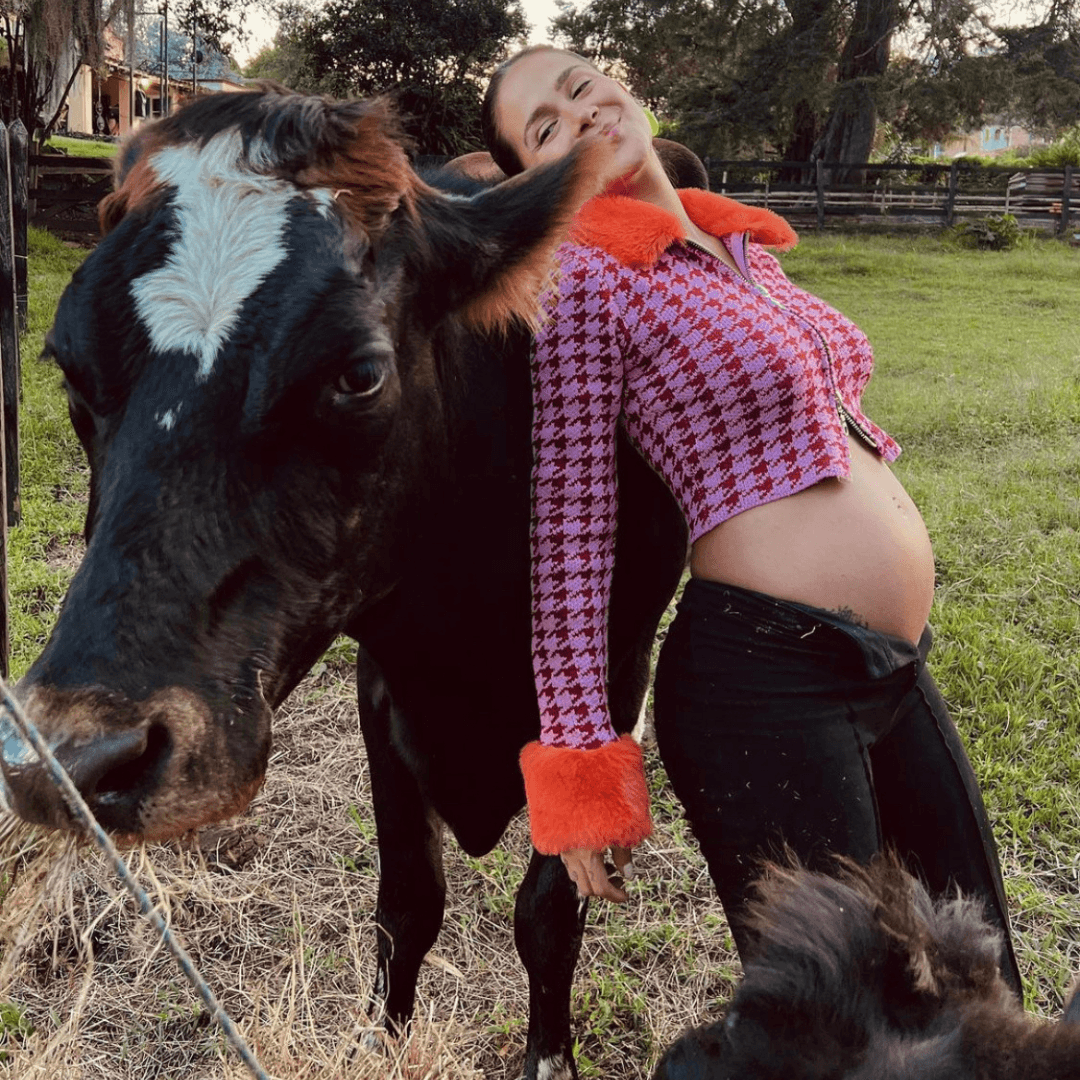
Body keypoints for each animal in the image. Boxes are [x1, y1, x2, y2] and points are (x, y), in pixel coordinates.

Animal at [0, 87, 688, 1080]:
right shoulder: (383, 688)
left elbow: (550, 912)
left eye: (358, 374)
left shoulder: (617, 669)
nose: (70, 759)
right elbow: (408, 903)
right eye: (71, 373)